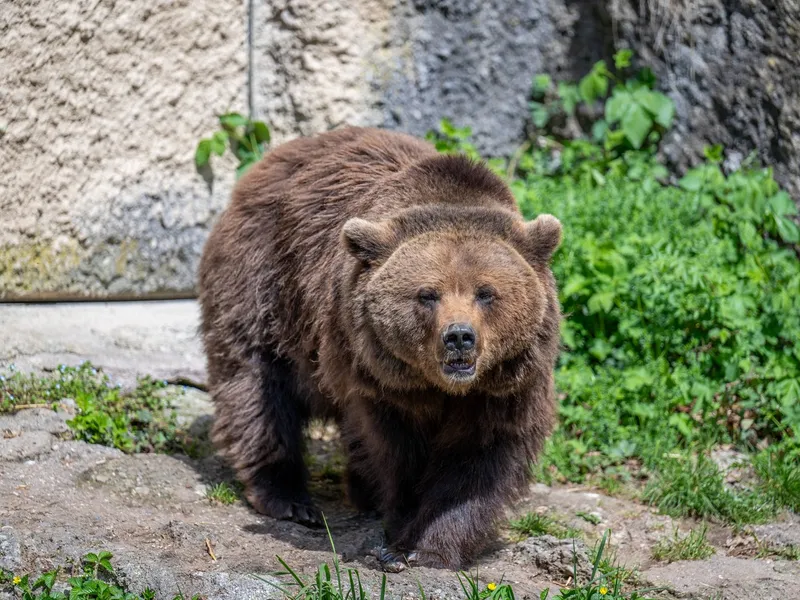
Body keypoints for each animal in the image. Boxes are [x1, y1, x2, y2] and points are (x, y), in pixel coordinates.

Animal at [198, 126, 564, 572]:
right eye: (427, 294)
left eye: (486, 292)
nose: (459, 336)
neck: (442, 387)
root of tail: (270, 160)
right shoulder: (381, 382)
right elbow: (395, 454)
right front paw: (399, 536)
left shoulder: (505, 386)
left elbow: (478, 461)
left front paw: (433, 547)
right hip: (265, 282)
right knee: (257, 387)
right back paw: (288, 497)